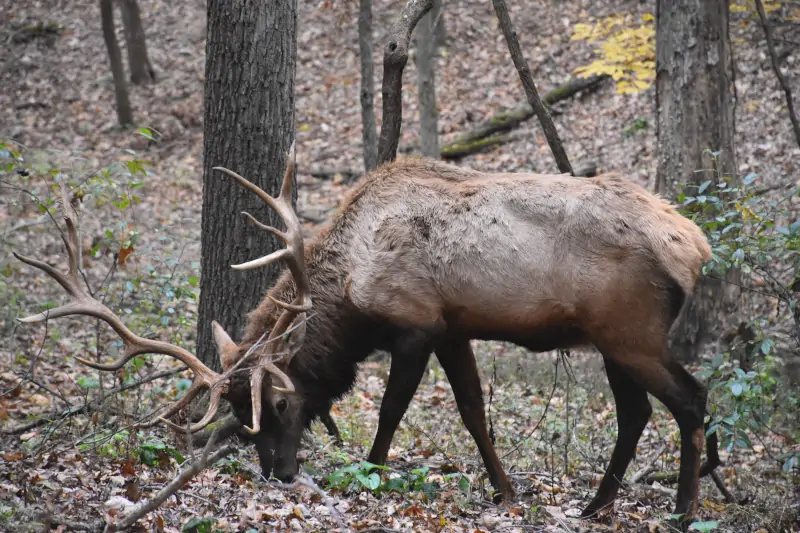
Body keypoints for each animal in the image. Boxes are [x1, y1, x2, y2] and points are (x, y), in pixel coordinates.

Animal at [17, 148, 720, 524]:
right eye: (241, 416)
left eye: (279, 404)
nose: (279, 472)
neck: (351, 290)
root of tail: (694, 246)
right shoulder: (452, 327)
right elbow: (473, 411)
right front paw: (505, 489)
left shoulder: (414, 324)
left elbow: (390, 410)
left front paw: (372, 473)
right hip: (611, 342)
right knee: (636, 413)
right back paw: (595, 505)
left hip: (630, 332)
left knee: (692, 398)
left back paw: (683, 510)